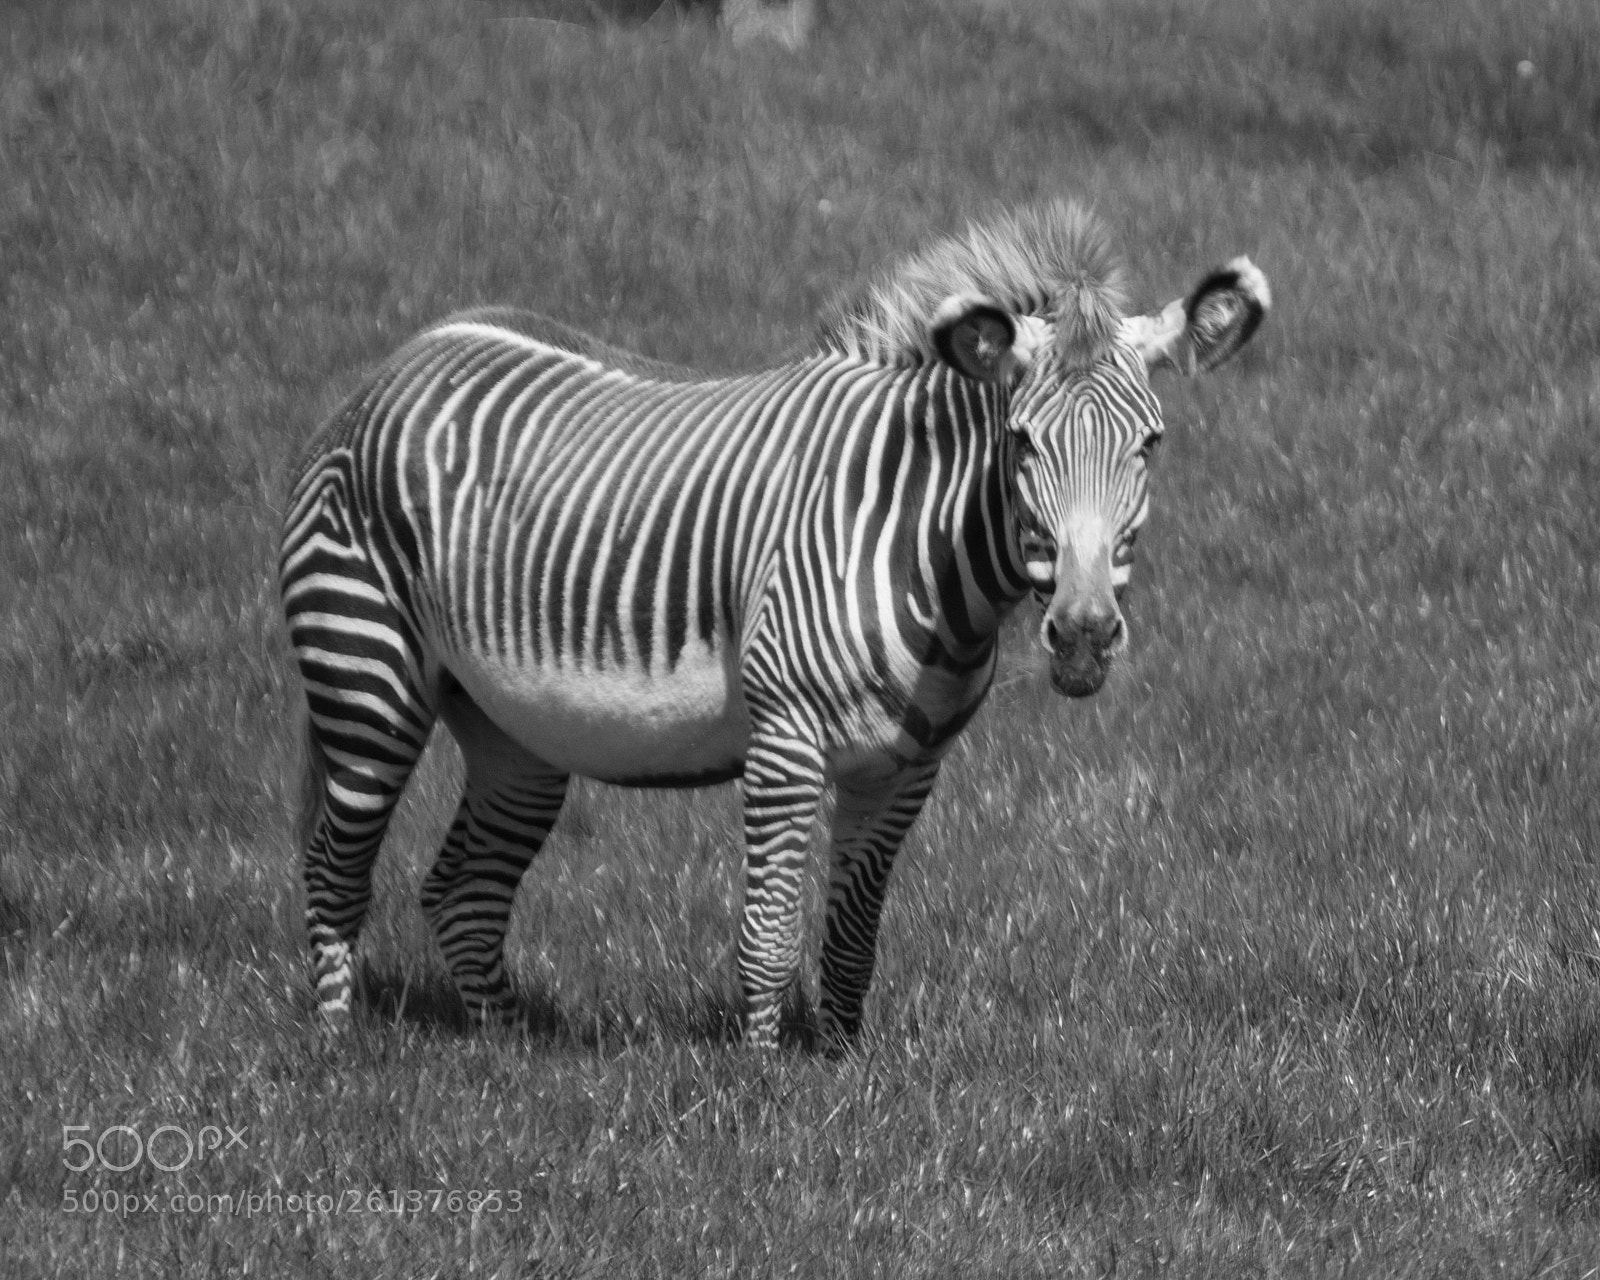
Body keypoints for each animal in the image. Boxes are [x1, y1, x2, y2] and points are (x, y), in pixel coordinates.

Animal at [279, 200, 1268, 1051]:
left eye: (1151, 444)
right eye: (1022, 443)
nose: (1084, 636)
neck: (919, 536)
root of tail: (404, 356)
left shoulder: (903, 770)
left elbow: (852, 934)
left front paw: (842, 1065)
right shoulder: (785, 743)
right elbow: (769, 935)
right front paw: (764, 1089)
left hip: (511, 730)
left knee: (464, 892)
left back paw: (510, 1051)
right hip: (365, 673)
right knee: (335, 871)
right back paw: (335, 1046)